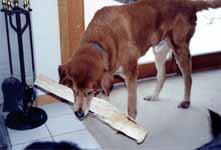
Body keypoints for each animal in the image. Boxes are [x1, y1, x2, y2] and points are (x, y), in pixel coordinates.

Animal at [58, 0, 221, 119]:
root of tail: (189, 3)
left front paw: (130, 123)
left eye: (90, 92)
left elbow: (131, 106)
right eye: (73, 91)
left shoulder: (131, 74)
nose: (78, 114)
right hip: (159, 51)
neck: (98, 43)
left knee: (188, 78)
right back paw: (154, 96)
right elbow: (106, 95)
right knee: (161, 76)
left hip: (180, 49)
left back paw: (186, 102)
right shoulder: (109, 76)